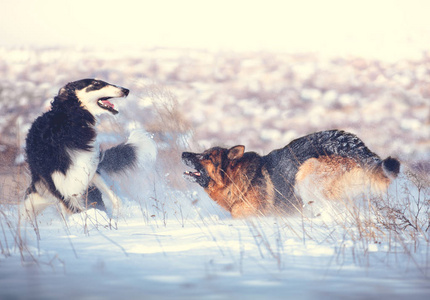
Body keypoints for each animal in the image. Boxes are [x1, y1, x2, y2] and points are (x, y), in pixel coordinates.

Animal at [23, 78, 155, 217]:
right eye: (96, 84)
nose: (126, 90)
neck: (69, 124)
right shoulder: (63, 189)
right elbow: (77, 211)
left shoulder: (90, 172)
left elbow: (115, 198)